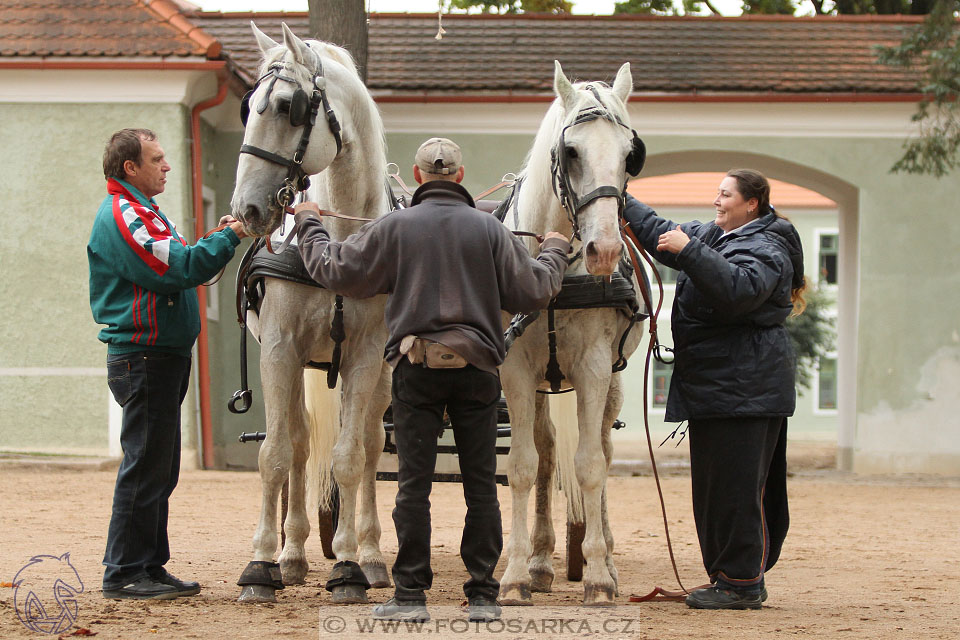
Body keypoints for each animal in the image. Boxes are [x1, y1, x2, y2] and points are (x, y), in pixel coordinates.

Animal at [231, 23, 392, 604]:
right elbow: (276, 454)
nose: (247, 210)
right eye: (247, 106)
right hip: (300, 367)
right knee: (299, 443)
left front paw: (347, 566)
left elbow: (349, 458)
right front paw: (261, 564)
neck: (338, 244)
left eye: (288, 106)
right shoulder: (280, 350)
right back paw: (294, 554)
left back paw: (370, 556)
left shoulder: (365, 356)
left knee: (370, 446)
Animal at [496, 61, 644, 604]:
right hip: (542, 382)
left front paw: (599, 576)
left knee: (599, 448)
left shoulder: (595, 368)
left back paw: (606, 560)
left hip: (612, 382)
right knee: (543, 455)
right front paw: (516, 573)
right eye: (572, 151)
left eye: (629, 155)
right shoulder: (515, 368)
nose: (605, 250)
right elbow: (522, 466)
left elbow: (590, 466)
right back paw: (540, 561)